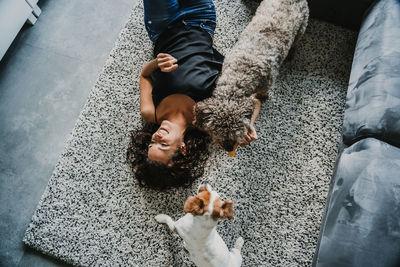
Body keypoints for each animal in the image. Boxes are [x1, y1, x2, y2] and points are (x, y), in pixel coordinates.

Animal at [194, 0, 310, 152]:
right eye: (217, 131)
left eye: (236, 131)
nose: (229, 148)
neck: (240, 75)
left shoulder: (267, 82)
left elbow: (263, 92)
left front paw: (263, 97)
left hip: (302, 26)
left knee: (296, 42)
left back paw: (291, 54)